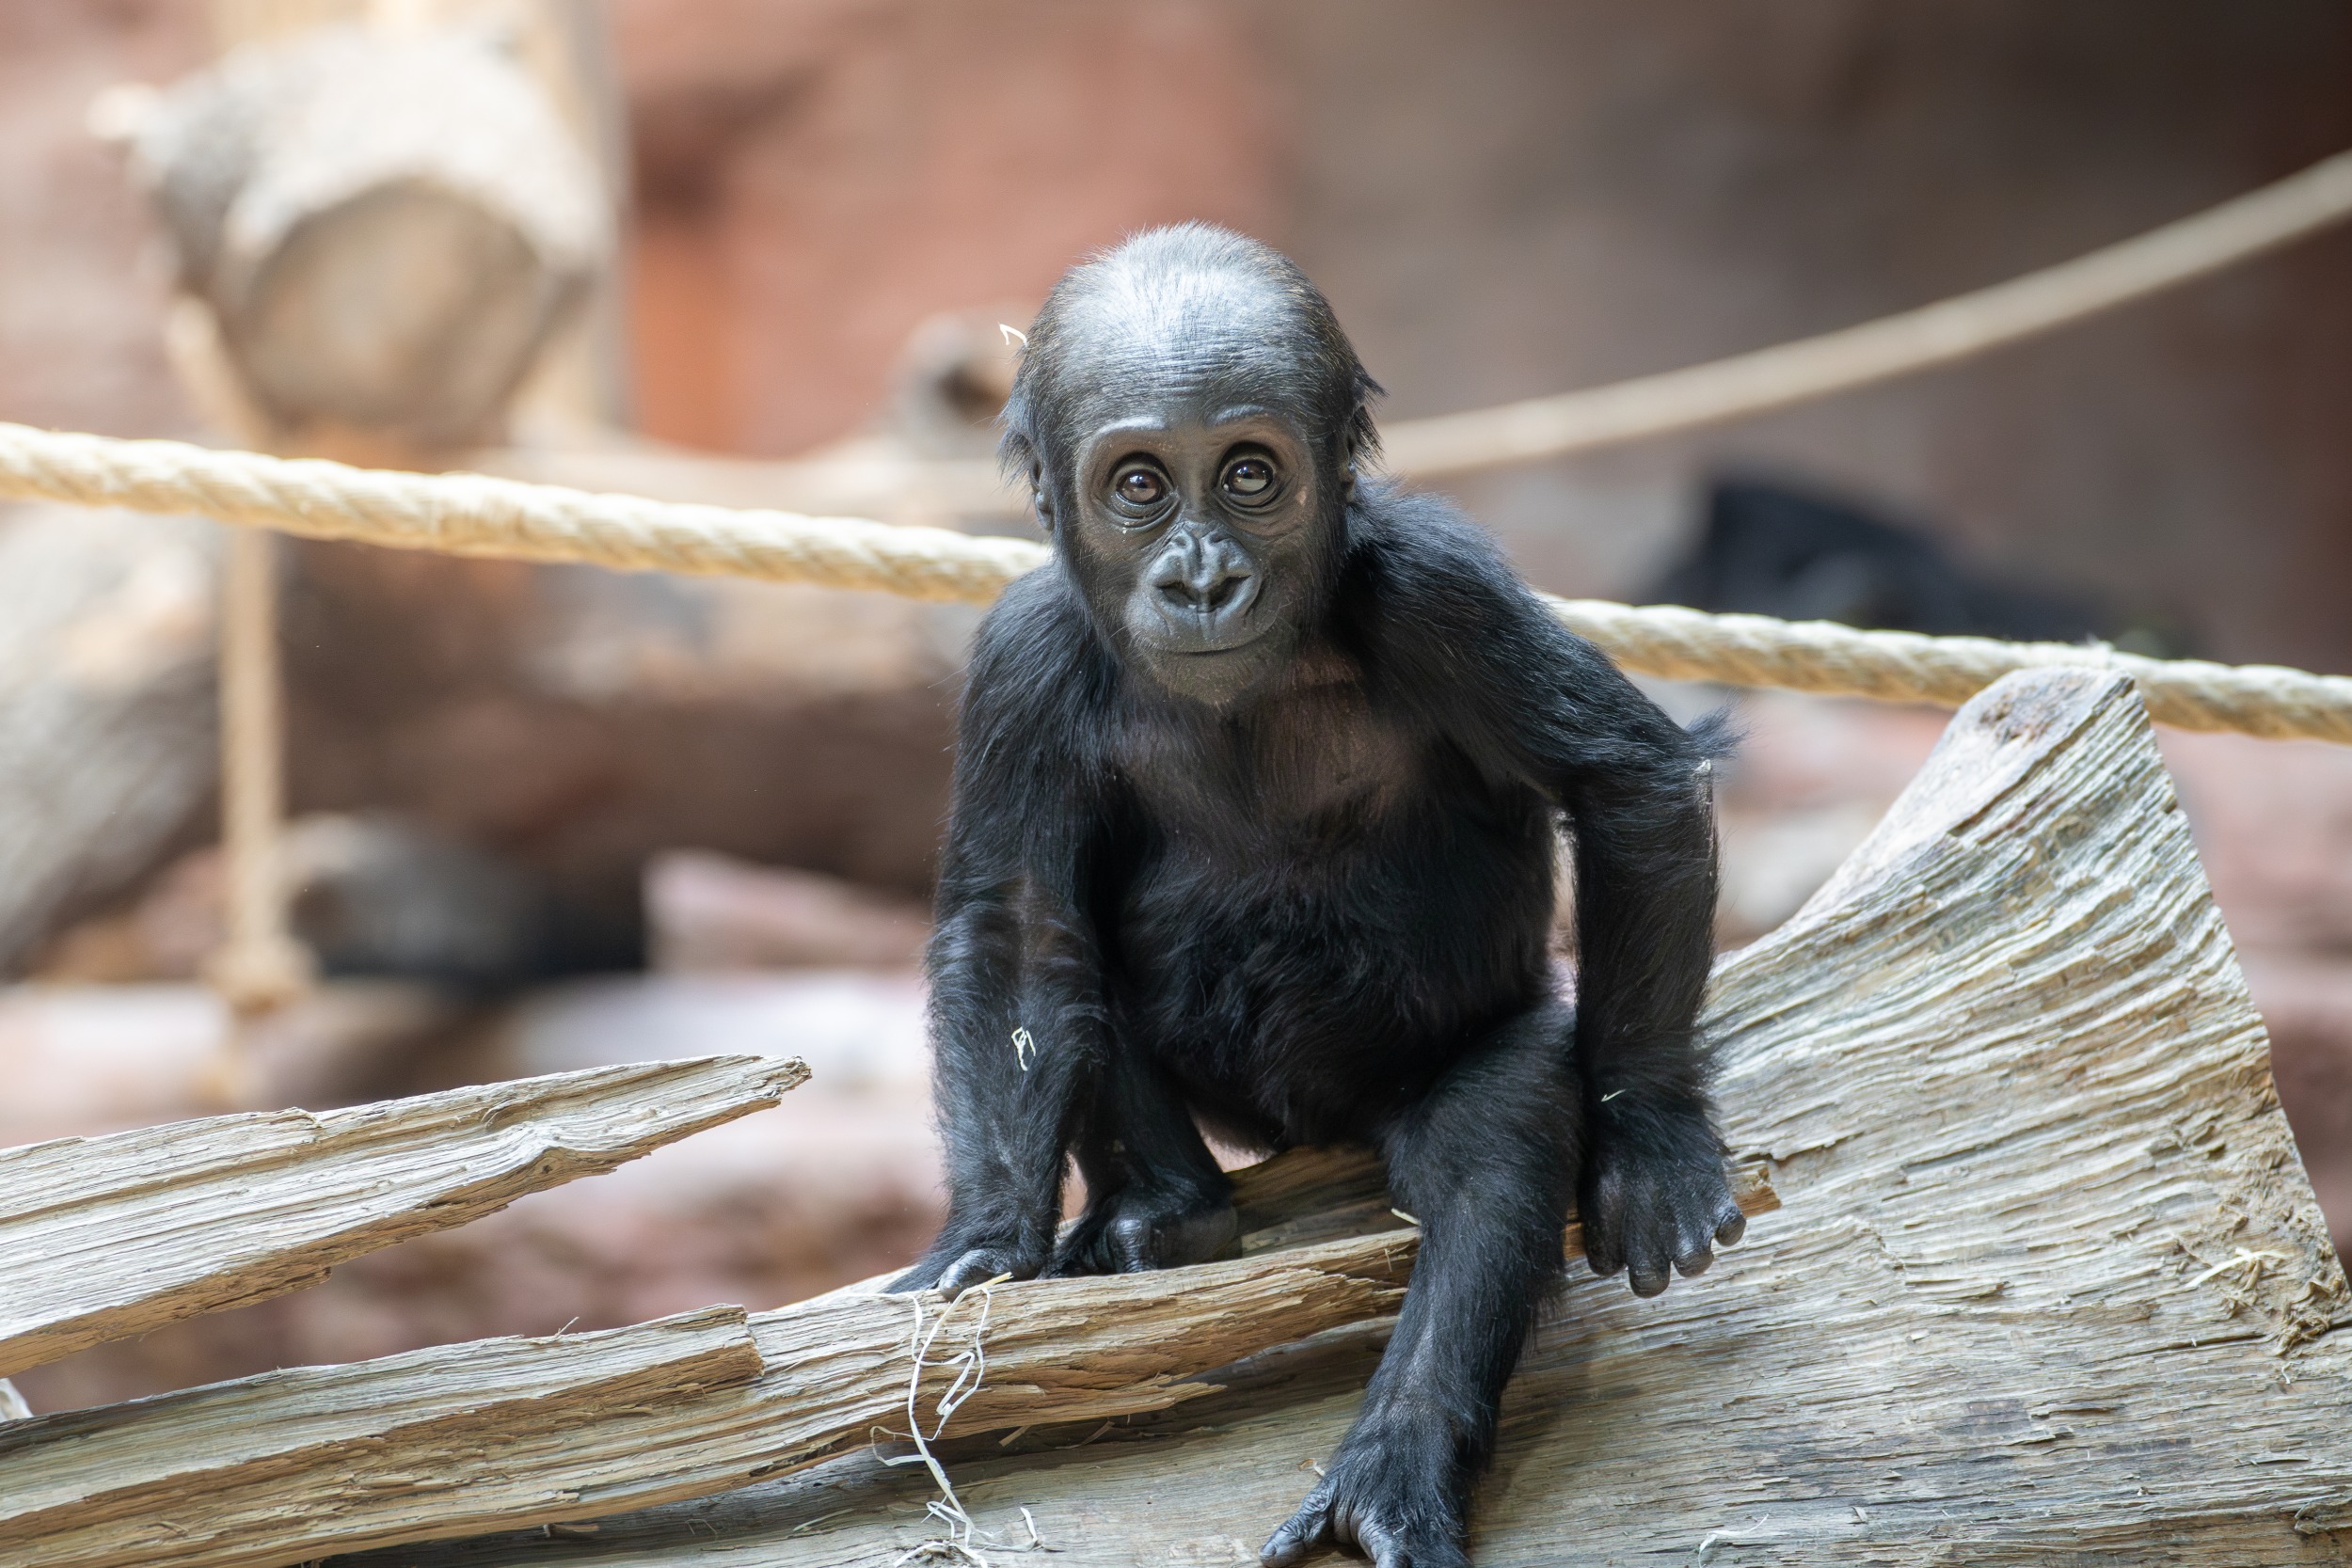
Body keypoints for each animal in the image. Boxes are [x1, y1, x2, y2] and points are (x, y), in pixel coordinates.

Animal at [889, 223, 1740, 1568]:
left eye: (1249, 475)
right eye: (1140, 484)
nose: (1200, 576)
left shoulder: (1443, 588)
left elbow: (1625, 783)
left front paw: (1651, 1133)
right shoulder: (1018, 658)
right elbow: (1021, 933)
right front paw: (984, 1236)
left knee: (1489, 1143)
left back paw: (1392, 1465)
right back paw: (1170, 1210)